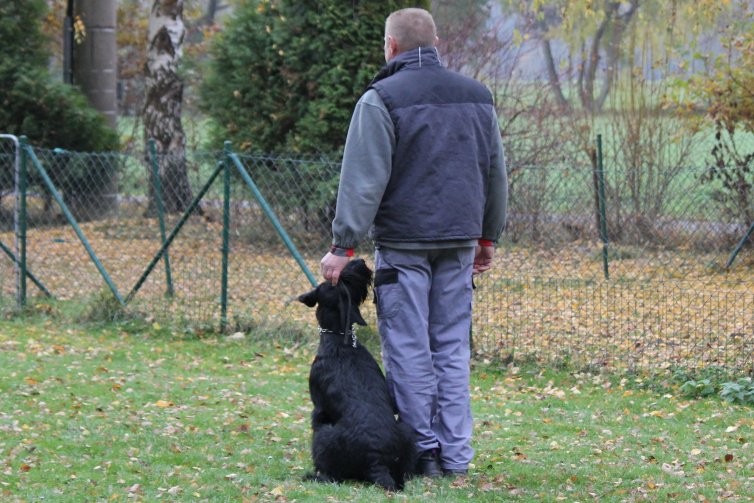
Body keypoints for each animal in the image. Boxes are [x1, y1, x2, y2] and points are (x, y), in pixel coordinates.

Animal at [298, 260, 418, 492]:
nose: (359, 262)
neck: (339, 340)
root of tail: (376, 460)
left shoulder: (318, 409)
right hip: (407, 431)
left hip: (324, 436)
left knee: (329, 474)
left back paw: (313, 475)